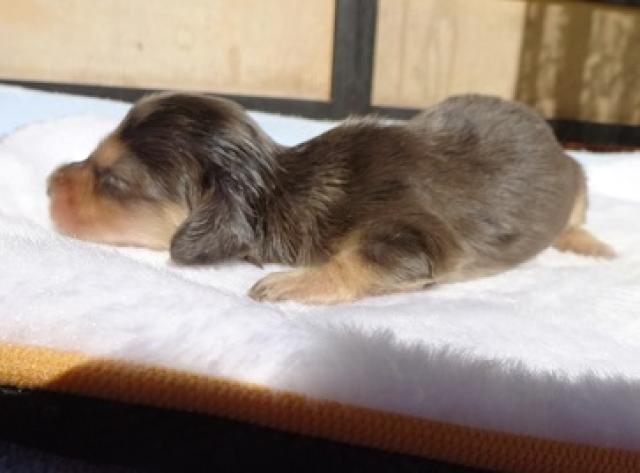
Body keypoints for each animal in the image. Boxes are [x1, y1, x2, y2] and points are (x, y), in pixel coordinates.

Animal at [47, 93, 614, 304]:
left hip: (578, 177)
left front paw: (290, 283)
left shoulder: (414, 236)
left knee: (576, 217)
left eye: (114, 182)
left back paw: (592, 244)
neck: (281, 188)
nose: (49, 183)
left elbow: (361, 258)